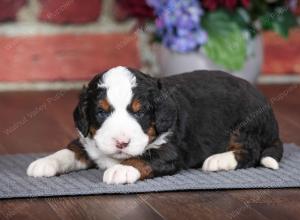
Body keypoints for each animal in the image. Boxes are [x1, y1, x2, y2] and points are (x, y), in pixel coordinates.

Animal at [27, 66, 282, 184]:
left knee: (250, 152)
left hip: (245, 123)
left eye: (140, 112)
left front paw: (120, 169)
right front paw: (45, 162)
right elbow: (70, 150)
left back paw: (219, 160)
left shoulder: (170, 150)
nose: (121, 142)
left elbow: (144, 157)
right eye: (101, 112)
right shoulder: (88, 141)